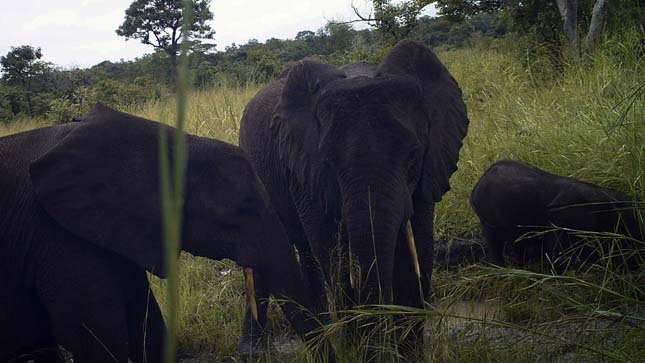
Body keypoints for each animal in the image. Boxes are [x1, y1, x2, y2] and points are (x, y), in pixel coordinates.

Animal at [239, 40, 470, 358]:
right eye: (329, 160)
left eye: (413, 154)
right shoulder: (304, 169)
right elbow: (336, 259)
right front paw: (359, 350)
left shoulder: (429, 166)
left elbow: (419, 254)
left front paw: (409, 355)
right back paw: (257, 351)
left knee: (306, 254)